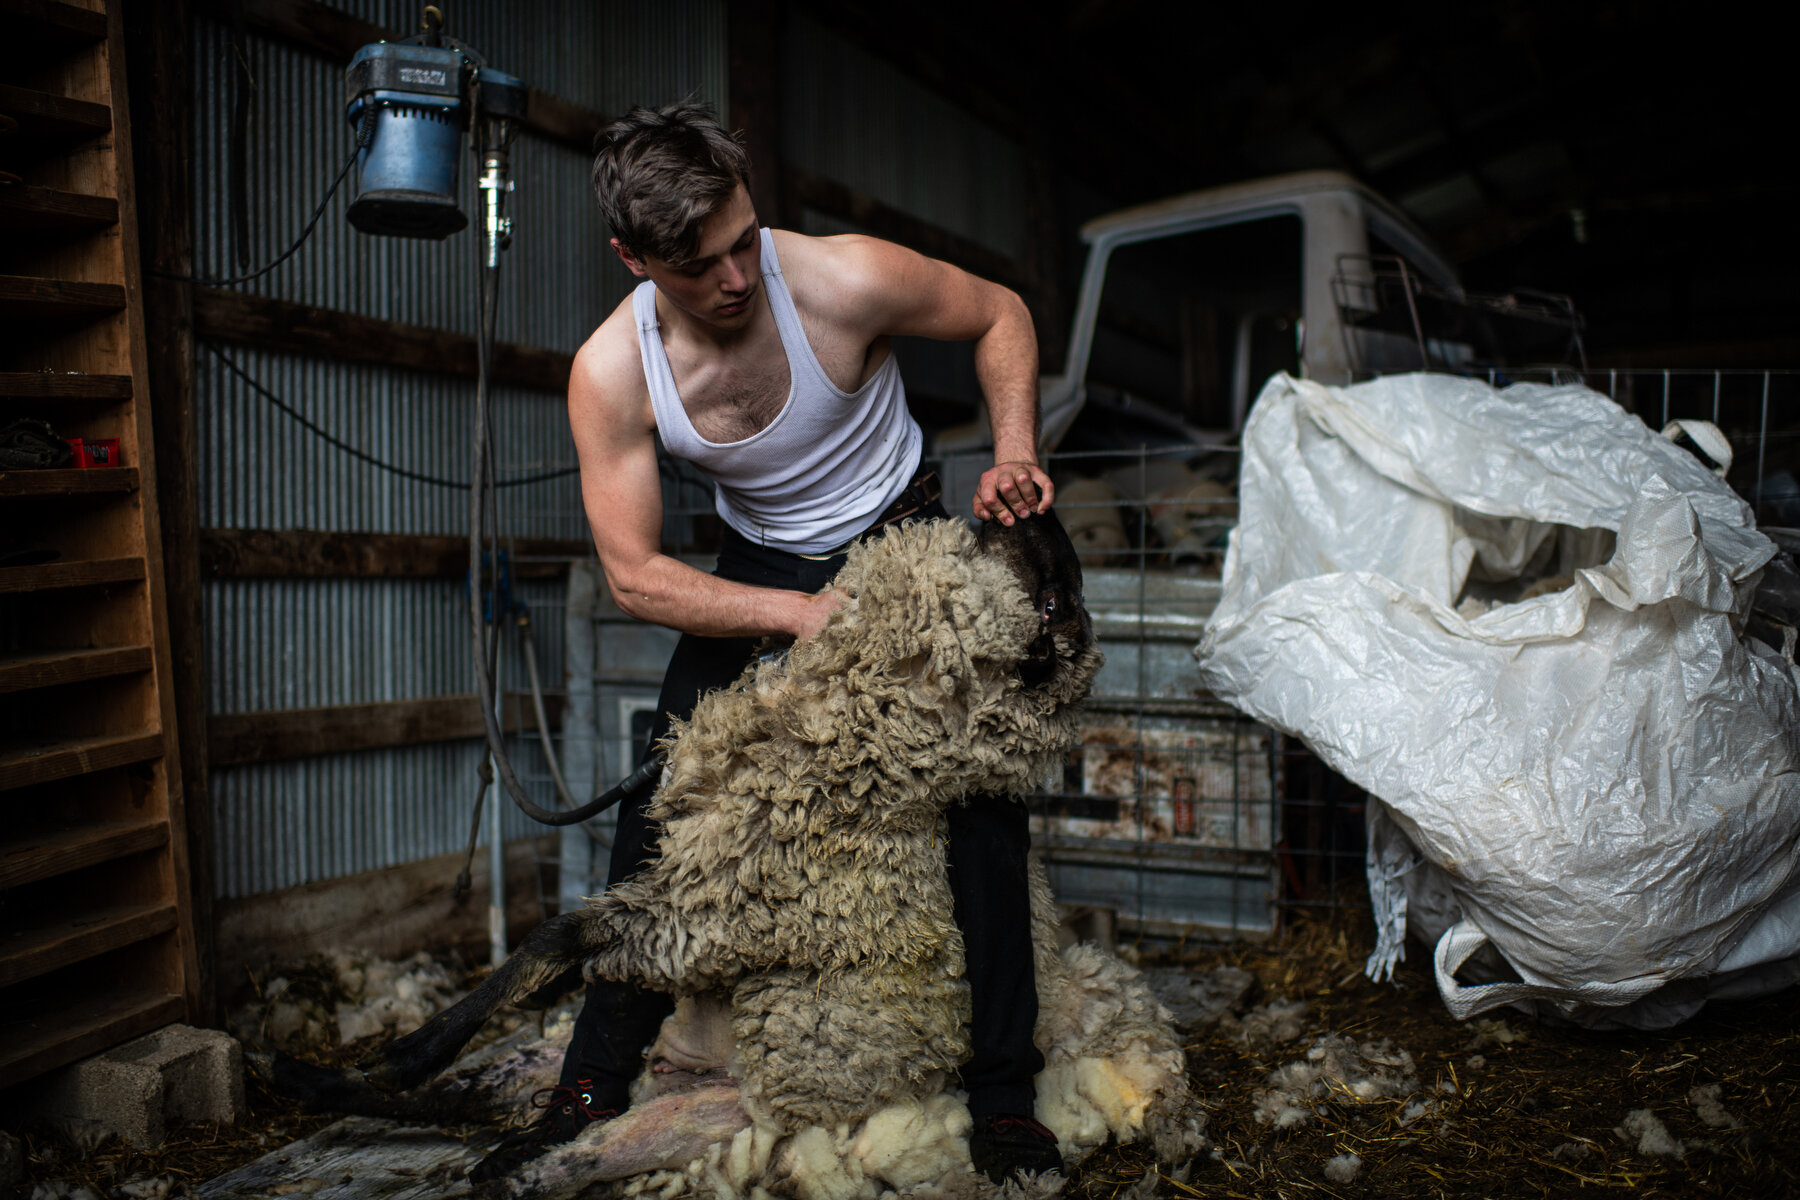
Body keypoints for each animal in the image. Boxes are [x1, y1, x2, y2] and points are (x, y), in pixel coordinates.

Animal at [262, 518, 1195, 1200]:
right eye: (1058, 594)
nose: (1033, 503)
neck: (859, 741)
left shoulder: (723, 912)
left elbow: (560, 939)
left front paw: (411, 1047)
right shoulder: (688, 876)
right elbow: (547, 946)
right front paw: (412, 1047)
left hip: (721, 1115)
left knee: (571, 1157)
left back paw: (508, 1164)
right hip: (607, 1071)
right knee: (475, 1097)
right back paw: (314, 1081)